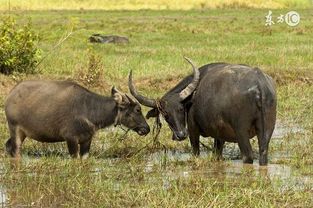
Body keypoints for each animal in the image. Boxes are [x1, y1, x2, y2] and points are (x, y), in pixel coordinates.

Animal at [4, 80, 150, 158]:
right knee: (15, 150)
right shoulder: (71, 139)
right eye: (138, 109)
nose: (146, 128)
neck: (88, 109)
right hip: (15, 129)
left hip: (22, 133)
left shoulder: (86, 141)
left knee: (8, 146)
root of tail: (11, 95)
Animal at [129, 57, 276, 165]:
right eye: (165, 114)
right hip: (267, 130)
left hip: (241, 131)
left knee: (247, 156)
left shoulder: (193, 129)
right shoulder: (219, 134)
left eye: (181, 109)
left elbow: (195, 151)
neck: (191, 98)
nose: (180, 135)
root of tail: (259, 84)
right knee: (263, 153)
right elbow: (217, 153)